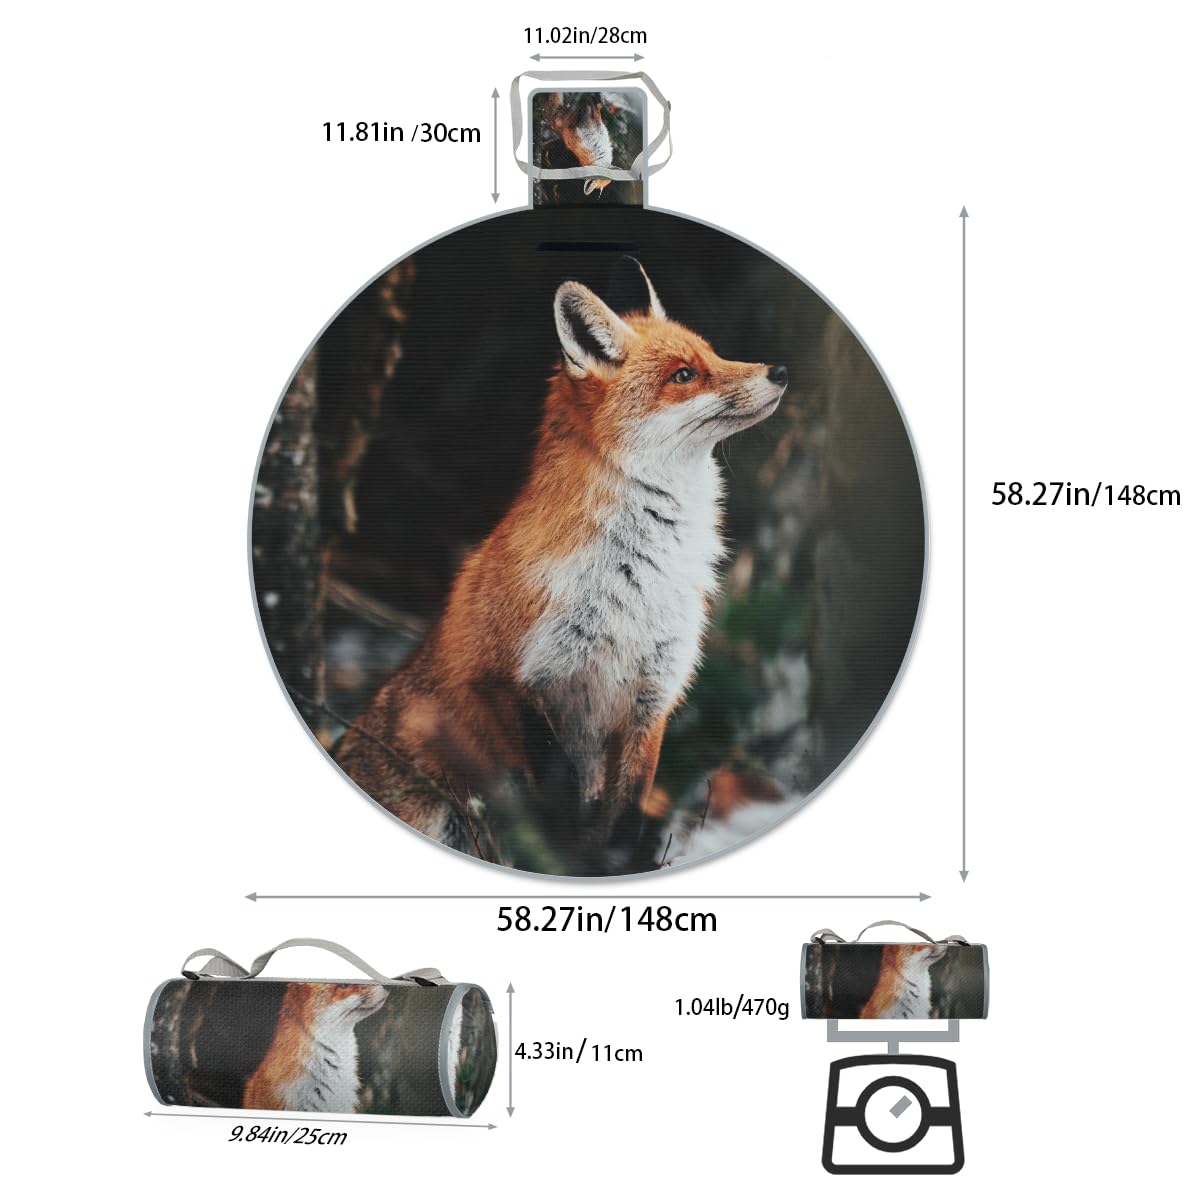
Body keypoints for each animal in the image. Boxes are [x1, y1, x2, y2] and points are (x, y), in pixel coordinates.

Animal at [335, 262, 787, 859]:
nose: (780, 369)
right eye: (684, 375)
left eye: (713, 355)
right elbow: (560, 818)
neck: (636, 579)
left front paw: (609, 866)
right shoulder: (514, 681)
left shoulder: (652, 697)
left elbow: (622, 823)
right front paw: (569, 864)